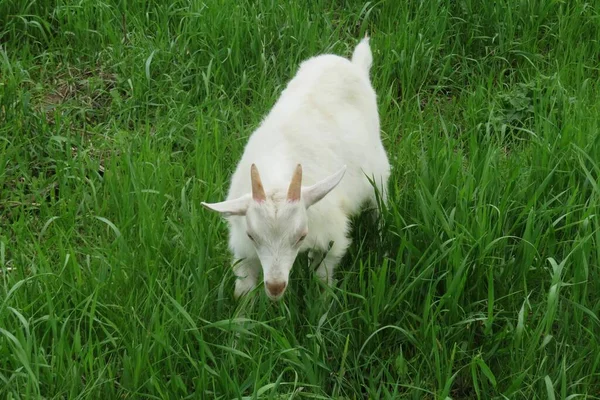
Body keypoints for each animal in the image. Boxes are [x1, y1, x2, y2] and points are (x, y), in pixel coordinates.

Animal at [200, 36, 390, 300]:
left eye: (300, 236)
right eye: (252, 235)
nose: (275, 286)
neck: (278, 174)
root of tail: (354, 65)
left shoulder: (330, 235)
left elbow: (323, 278)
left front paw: (322, 305)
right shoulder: (243, 248)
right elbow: (244, 290)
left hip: (377, 171)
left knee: (379, 202)